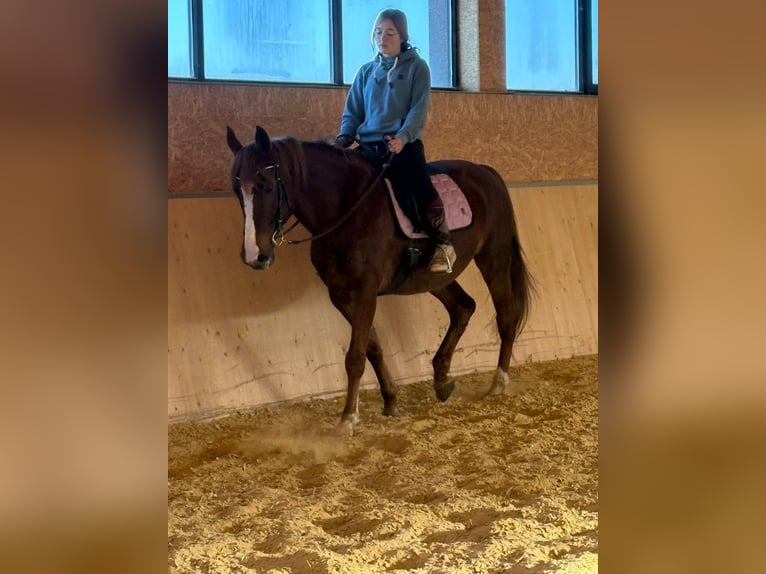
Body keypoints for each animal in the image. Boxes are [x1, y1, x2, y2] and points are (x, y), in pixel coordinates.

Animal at [226, 125, 532, 435]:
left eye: (266, 186)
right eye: (237, 189)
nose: (255, 255)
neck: (345, 207)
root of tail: (485, 172)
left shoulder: (365, 291)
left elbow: (355, 357)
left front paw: (348, 418)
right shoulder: (340, 294)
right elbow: (372, 348)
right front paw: (390, 400)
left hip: (493, 257)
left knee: (506, 314)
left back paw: (498, 382)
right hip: (433, 279)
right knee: (463, 307)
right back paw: (442, 380)